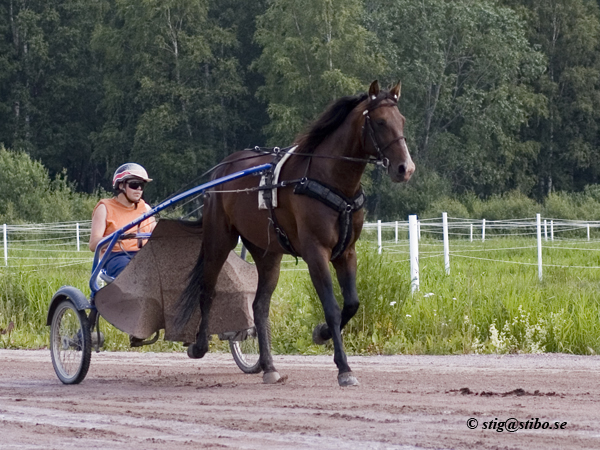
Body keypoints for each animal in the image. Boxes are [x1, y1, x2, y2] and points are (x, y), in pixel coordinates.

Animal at [176, 81, 414, 386]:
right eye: (381, 122)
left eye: (402, 120)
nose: (405, 168)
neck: (331, 181)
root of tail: (222, 170)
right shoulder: (316, 252)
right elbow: (332, 308)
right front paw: (344, 368)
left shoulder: (347, 251)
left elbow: (352, 303)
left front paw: (321, 333)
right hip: (219, 237)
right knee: (208, 289)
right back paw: (199, 345)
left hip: (267, 252)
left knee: (260, 306)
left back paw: (268, 366)